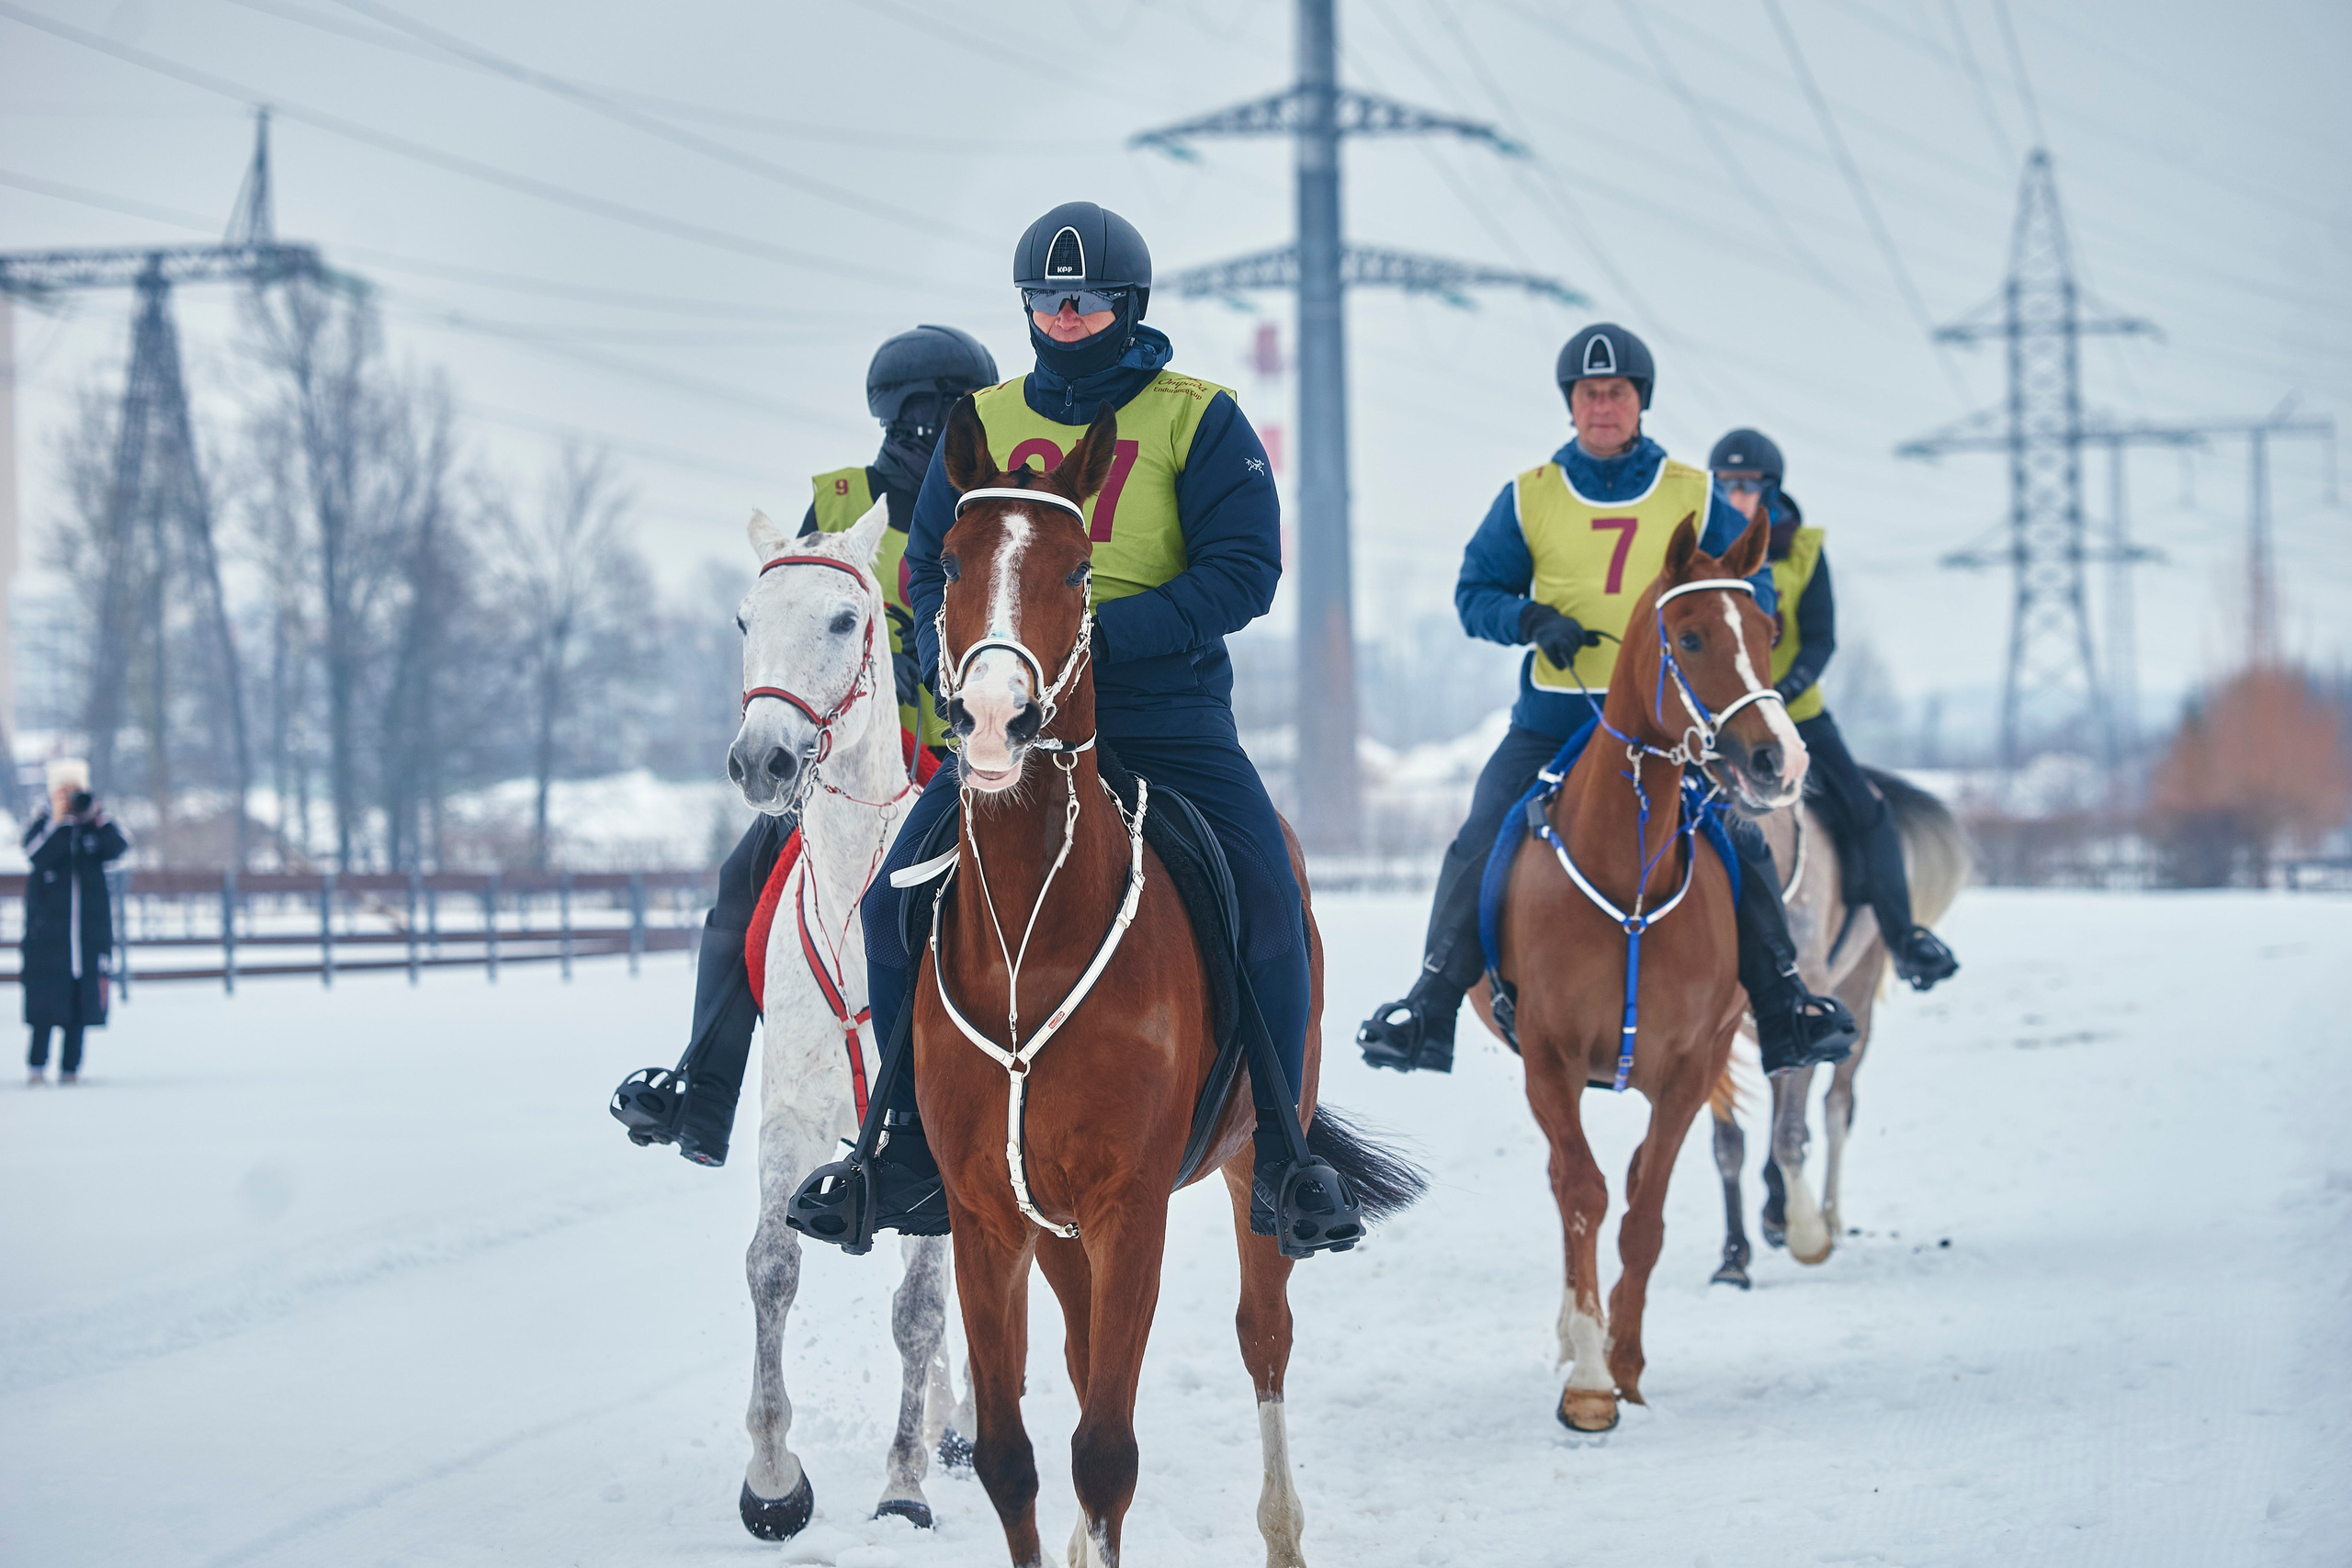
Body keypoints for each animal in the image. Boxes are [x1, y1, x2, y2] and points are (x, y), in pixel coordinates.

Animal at [909, 399, 1418, 1568]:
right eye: (950, 562)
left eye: (1077, 570)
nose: (995, 721)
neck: (1032, 941)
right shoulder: (986, 1215)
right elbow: (1011, 1459)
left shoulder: (1128, 1206)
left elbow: (1105, 1456)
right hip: (1055, 1232)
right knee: (1079, 1354)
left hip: (1252, 1167)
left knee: (1263, 1338)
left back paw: (1283, 1532)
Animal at [1471, 514, 1806, 1433]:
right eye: (1689, 638)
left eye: (1766, 631)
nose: (1778, 760)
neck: (1628, 882)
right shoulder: (1548, 1059)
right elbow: (1583, 1194)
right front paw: (1588, 1383)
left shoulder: (1691, 1064)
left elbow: (1643, 1212)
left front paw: (1625, 1363)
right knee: (1566, 1181)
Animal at [1705, 771, 1971, 1281]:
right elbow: (1728, 1144)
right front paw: (1732, 1260)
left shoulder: (1815, 1015)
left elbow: (1790, 1134)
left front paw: (1808, 1236)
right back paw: (1776, 1212)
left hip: (1860, 1000)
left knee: (1836, 1107)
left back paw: (1820, 1215)